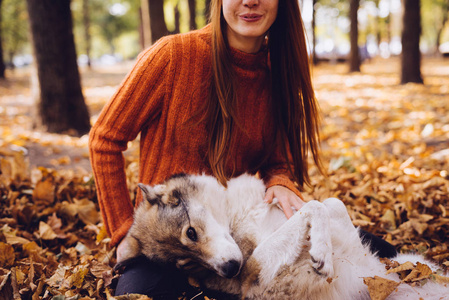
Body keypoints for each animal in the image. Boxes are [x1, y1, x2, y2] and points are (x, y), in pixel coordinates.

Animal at [116, 173, 448, 300]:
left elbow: (329, 203)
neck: (237, 216)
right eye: (186, 265)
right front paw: (322, 254)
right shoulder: (256, 277)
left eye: (191, 233)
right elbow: (315, 207)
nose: (230, 270)